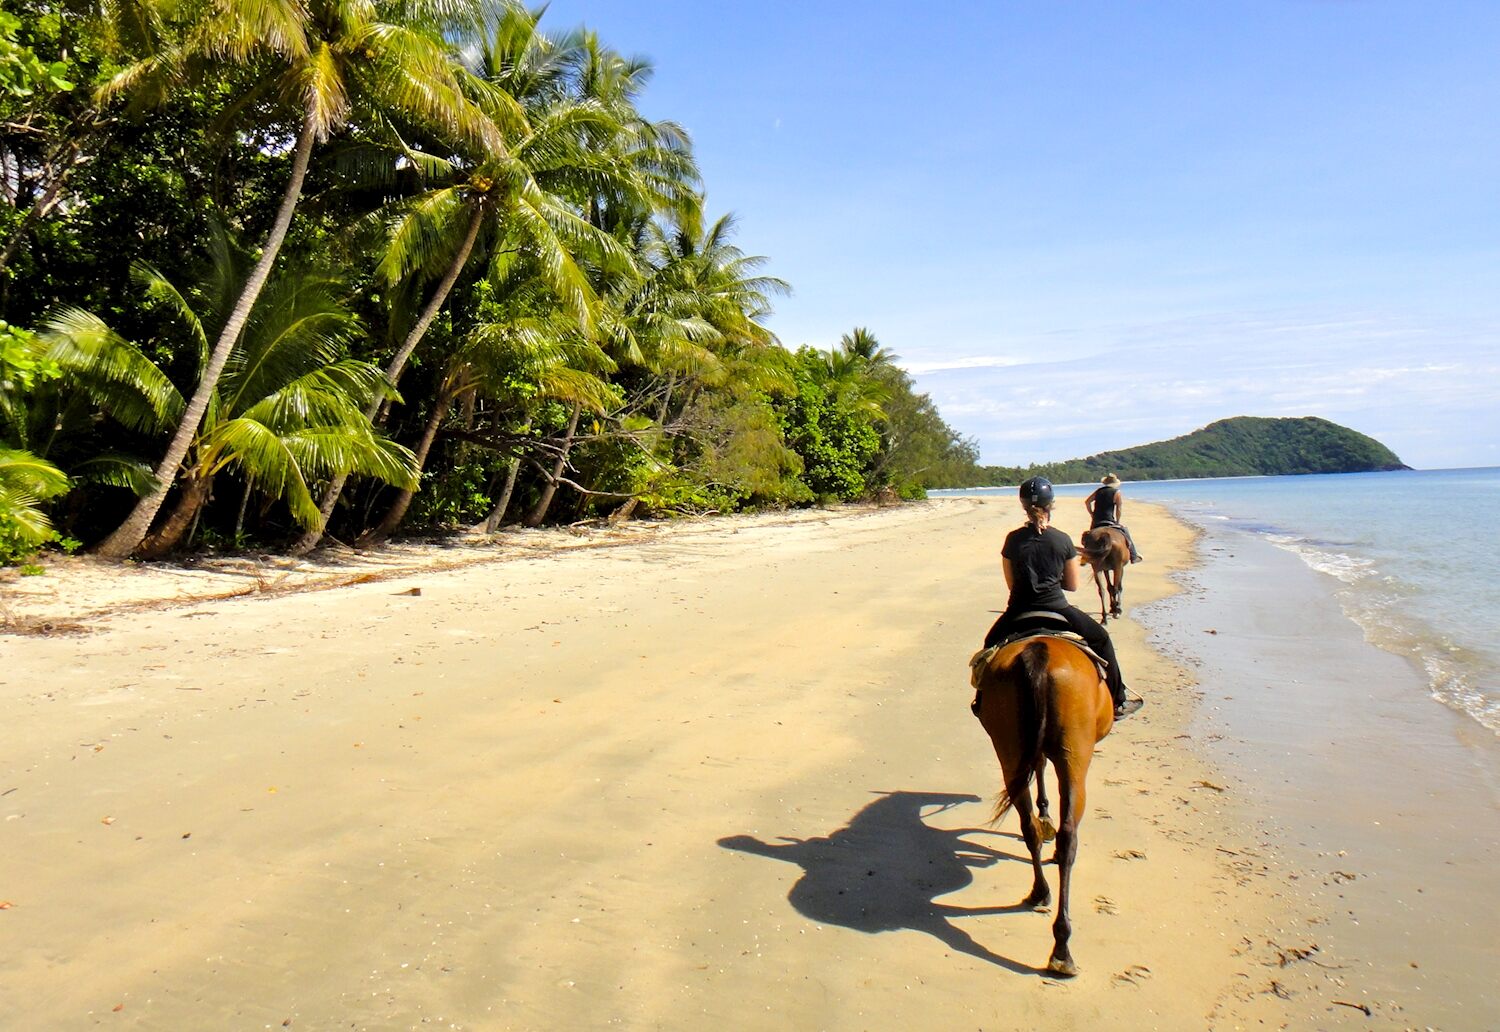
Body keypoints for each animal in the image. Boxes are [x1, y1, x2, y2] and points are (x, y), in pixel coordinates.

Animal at [972, 636, 1116, 978]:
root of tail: (1039, 650)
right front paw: (1048, 815)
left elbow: (1037, 767)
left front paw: (1045, 814)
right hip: (1074, 756)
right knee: (1069, 838)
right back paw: (1062, 948)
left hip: (1009, 750)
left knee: (1028, 827)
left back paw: (1039, 892)